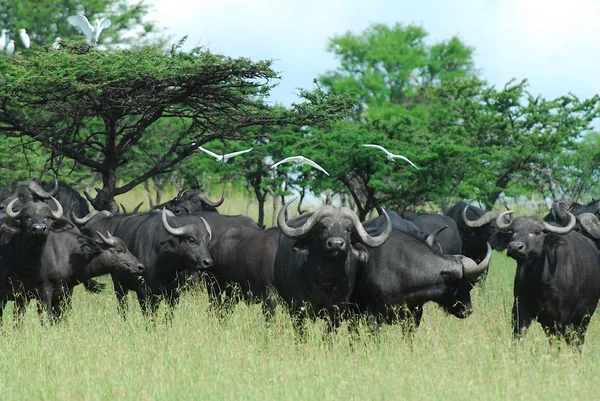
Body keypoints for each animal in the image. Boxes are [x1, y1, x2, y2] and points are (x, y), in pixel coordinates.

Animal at [496, 209, 600, 346]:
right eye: (513, 231)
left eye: (537, 231)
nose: (515, 247)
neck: (537, 281)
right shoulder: (520, 310)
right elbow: (518, 335)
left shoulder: (562, 316)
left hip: (584, 317)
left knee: (577, 340)